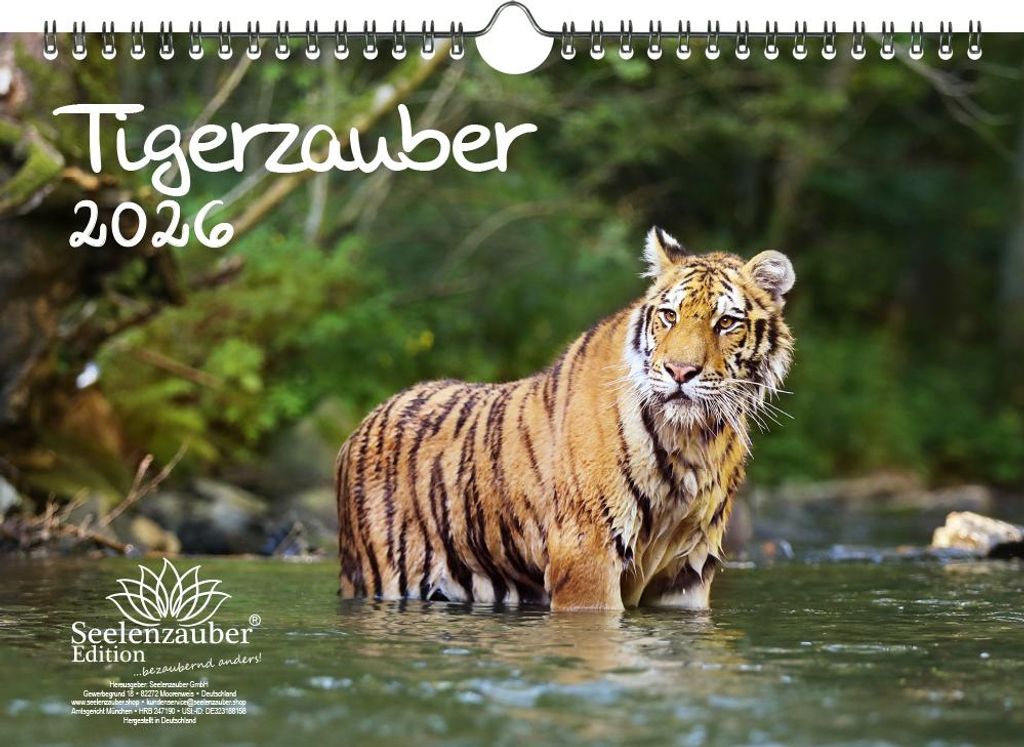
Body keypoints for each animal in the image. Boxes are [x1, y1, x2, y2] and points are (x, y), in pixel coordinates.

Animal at [335, 227, 795, 610]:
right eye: (669, 315)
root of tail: (361, 425)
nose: (680, 372)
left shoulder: (687, 571)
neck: (693, 439)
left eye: (726, 322)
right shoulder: (587, 555)